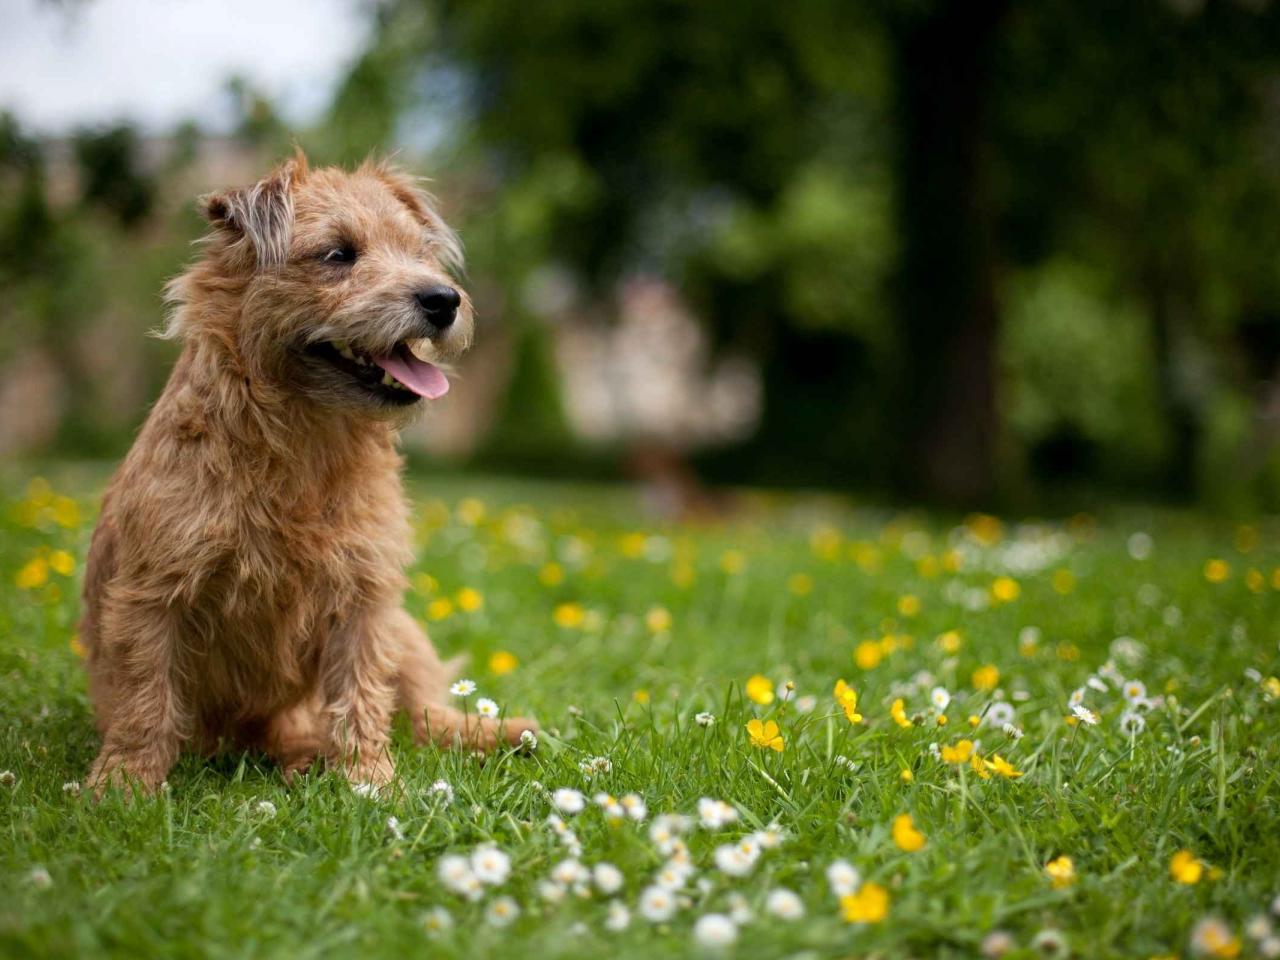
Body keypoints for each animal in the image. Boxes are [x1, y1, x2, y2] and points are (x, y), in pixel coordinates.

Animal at [81, 152, 535, 798]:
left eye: (421, 252)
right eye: (339, 254)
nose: (443, 299)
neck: (303, 445)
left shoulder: (364, 598)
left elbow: (363, 695)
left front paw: (370, 780)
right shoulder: (153, 595)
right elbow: (145, 696)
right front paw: (122, 785)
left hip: (406, 631)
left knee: (428, 715)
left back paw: (503, 733)